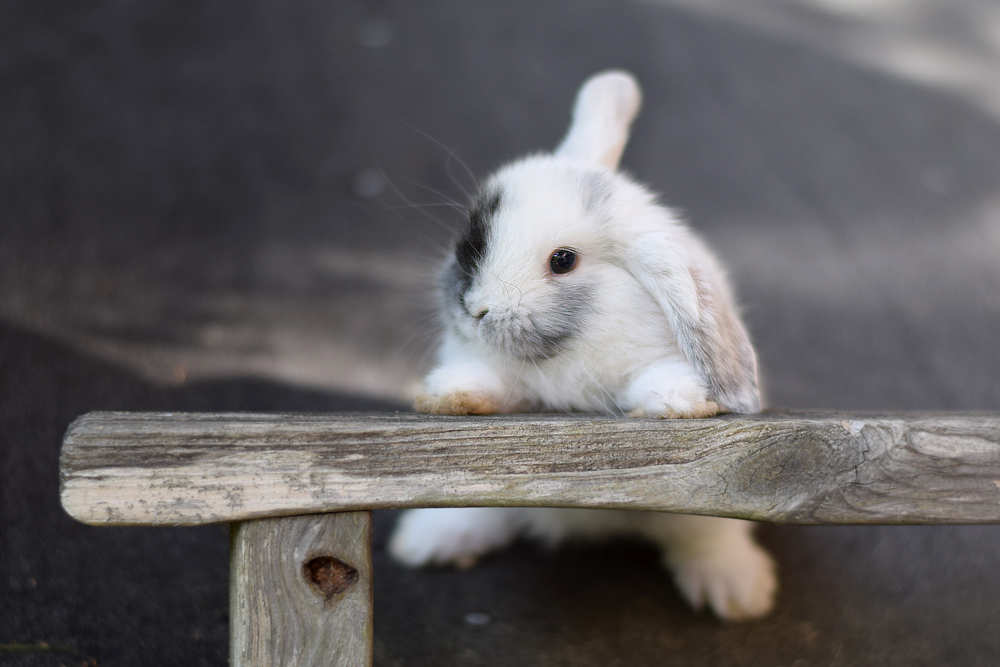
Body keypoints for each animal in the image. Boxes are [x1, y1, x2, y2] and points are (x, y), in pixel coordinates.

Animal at [388, 72, 772, 620]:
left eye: (563, 260)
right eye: (473, 243)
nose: (476, 309)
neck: (571, 353)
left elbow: (652, 384)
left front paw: (680, 397)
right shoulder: (519, 391)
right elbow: (493, 386)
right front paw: (450, 393)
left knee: (705, 535)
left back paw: (740, 593)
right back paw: (427, 540)